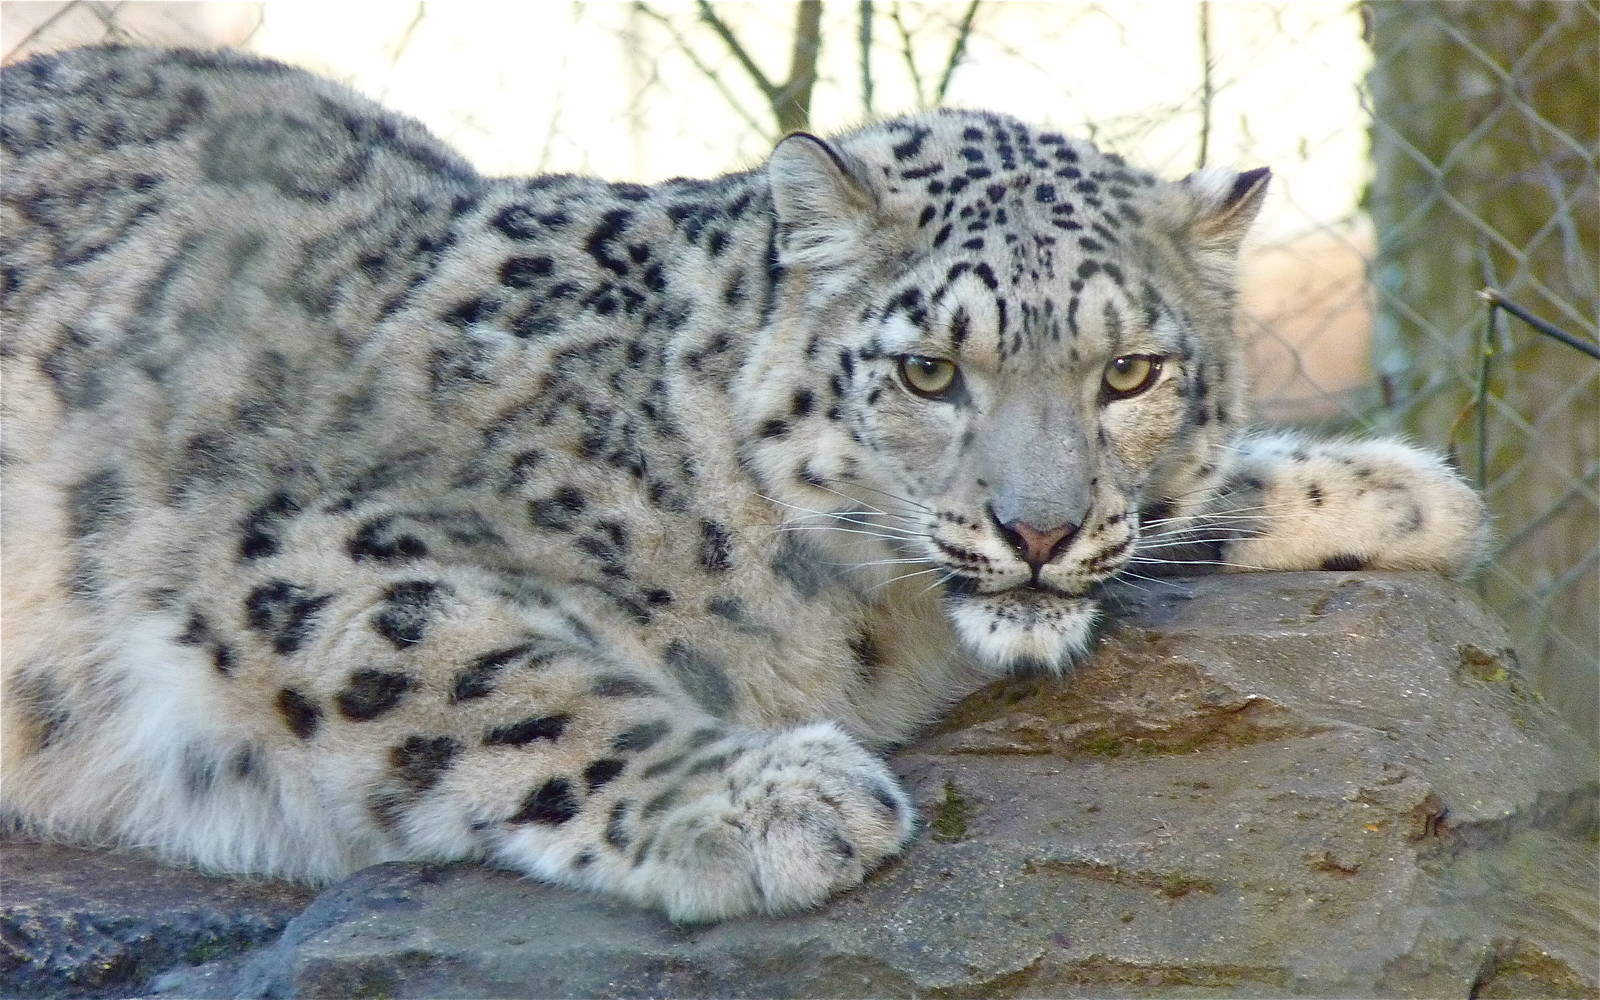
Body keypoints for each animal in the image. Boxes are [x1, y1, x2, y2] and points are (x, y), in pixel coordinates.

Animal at [0, 46, 1489, 923]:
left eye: (1128, 371)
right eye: (930, 370)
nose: (1039, 529)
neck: (872, 628)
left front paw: (1401, 489)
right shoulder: (291, 550)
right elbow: (505, 672)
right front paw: (774, 798)